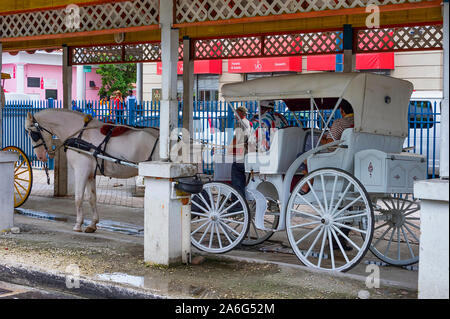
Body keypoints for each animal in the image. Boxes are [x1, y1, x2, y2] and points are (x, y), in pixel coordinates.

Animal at [25, 109, 160, 232]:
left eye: (33, 134)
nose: (40, 157)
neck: (80, 134)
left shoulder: (81, 171)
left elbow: (78, 197)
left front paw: (78, 224)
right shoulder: (90, 174)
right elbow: (91, 198)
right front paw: (92, 224)